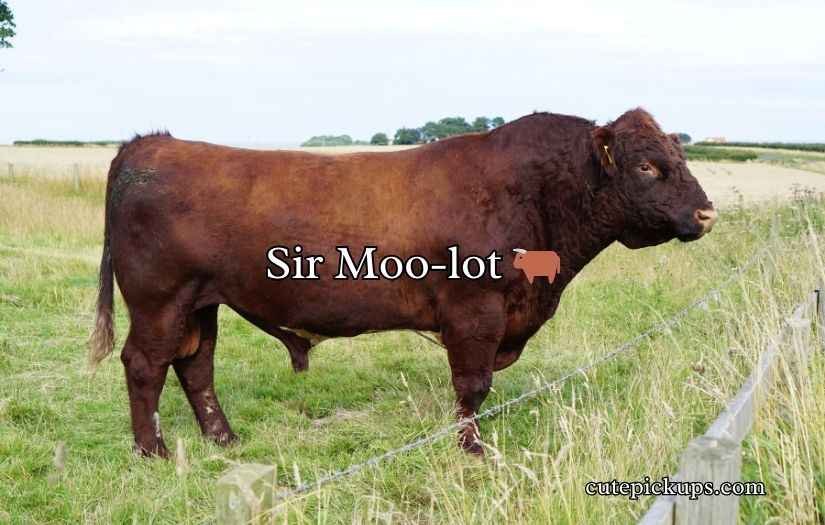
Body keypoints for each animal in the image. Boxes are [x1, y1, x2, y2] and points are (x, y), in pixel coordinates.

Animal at [88, 108, 716, 457]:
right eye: (646, 166)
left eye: (678, 155)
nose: (707, 213)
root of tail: (153, 143)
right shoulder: (476, 312)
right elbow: (473, 387)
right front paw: (472, 449)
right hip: (159, 301)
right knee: (145, 365)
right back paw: (153, 451)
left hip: (201, 302)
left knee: (195, 366)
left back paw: (223, 439)